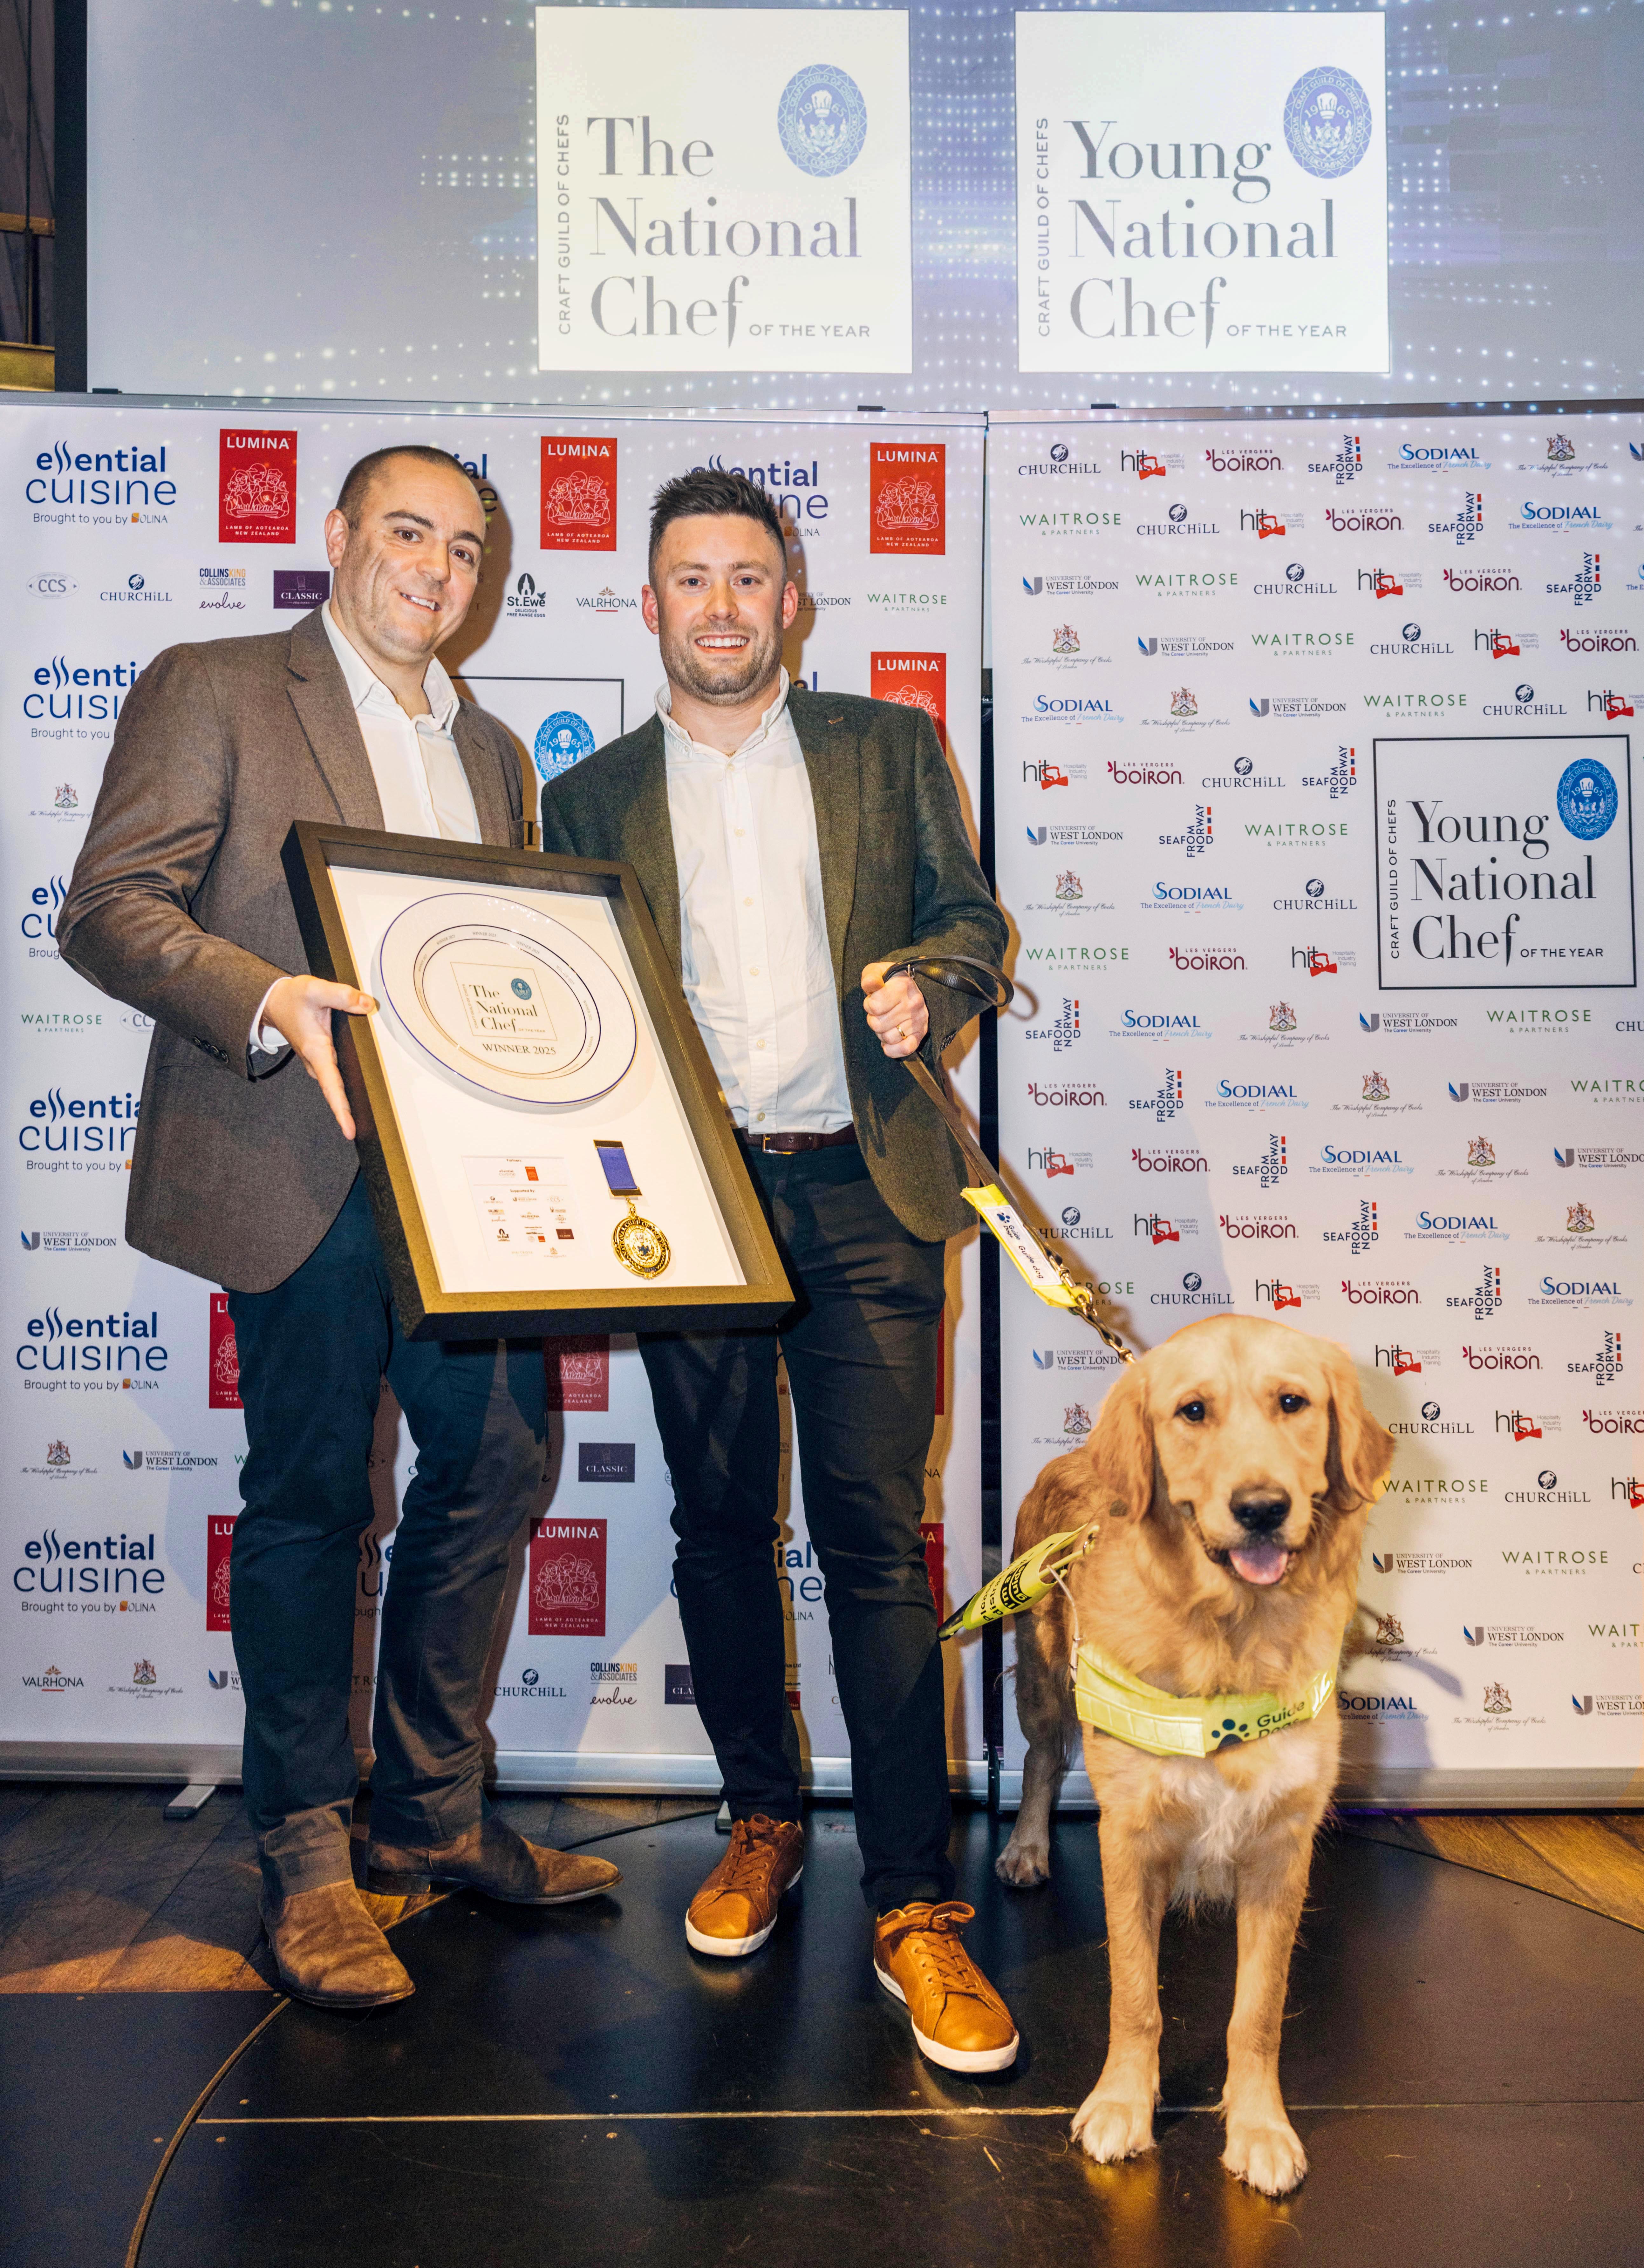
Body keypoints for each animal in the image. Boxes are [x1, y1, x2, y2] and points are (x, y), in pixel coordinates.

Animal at [993, 1315, 1388, 2195]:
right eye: (1193, 1410)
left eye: (1293, 1402)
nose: (1262, 1508)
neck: (1230, 1634)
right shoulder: (1130, 1835)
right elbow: (1136, 1994)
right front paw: (1122, 2105)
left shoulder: (1282, 1846)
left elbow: (1259, 2011)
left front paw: (1259, 2126)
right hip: (1041, 1679)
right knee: (1039, 1761)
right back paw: (1028, 1845)